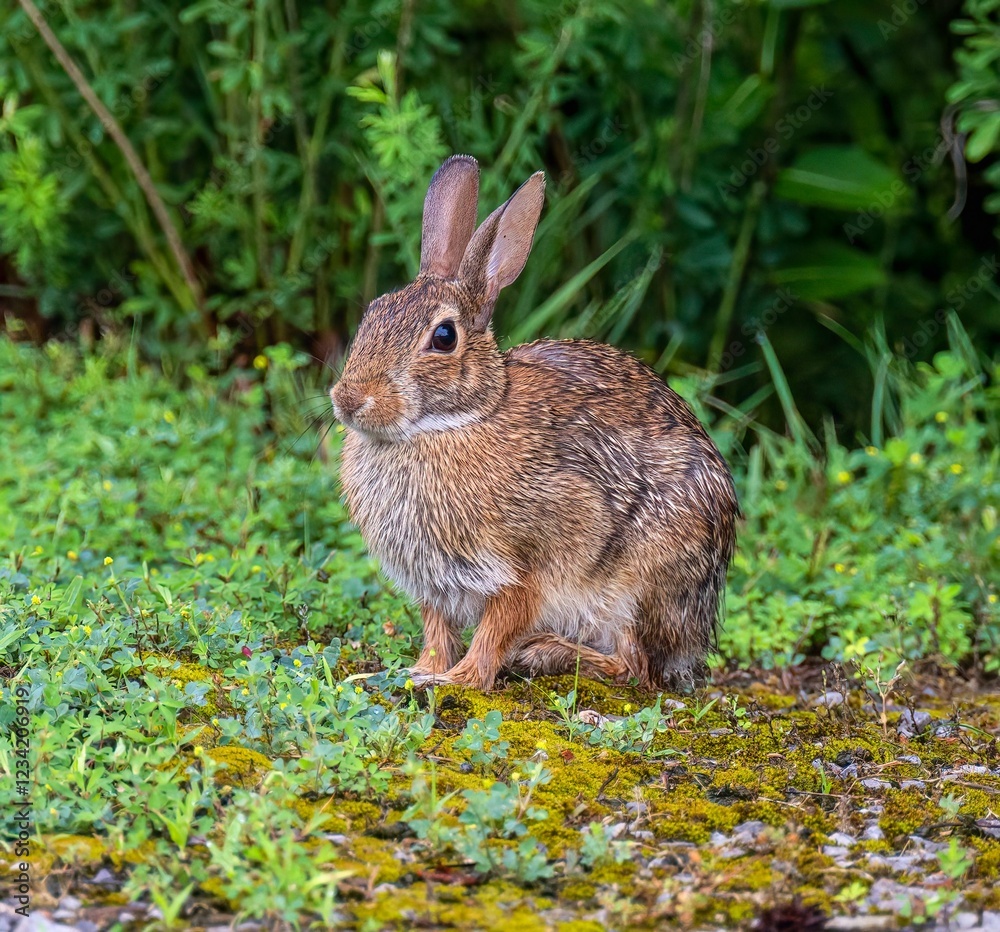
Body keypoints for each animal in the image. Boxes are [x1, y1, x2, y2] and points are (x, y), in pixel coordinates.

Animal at [331, 154, 738, 692]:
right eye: (373, 312)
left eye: (443, 337)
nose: (348, 399)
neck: (450, 423)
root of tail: (697, 633)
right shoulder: (435, 586)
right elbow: (438, 632)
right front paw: (419, 672)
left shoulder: (529, 566)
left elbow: (497, 630)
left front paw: (458, 681)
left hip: (640, 585)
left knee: (636, 667)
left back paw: (544, 653)